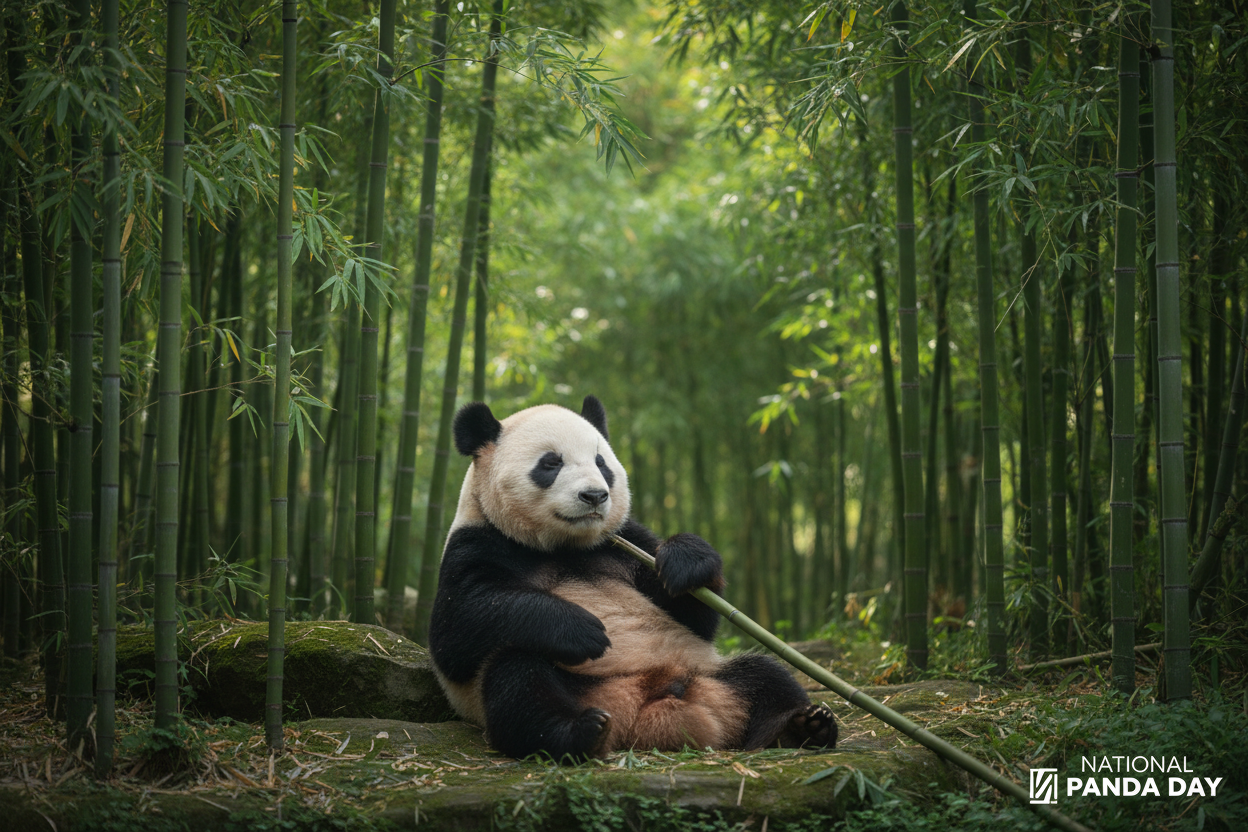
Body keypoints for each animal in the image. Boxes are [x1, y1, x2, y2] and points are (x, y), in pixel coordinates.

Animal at [428, 395, 837, 760]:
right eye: (551, 463)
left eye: (601, 462)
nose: (594, 495)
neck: (565, 547)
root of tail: (640, 711)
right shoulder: (478, 543)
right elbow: (457, 631)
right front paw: (582, 630)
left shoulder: (625, 543)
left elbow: (698, 616)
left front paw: (685, 562)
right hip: (571, 683)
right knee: (519, 677)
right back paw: (580, 732)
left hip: (709, 671)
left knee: (767, 674)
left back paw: (802, 727)